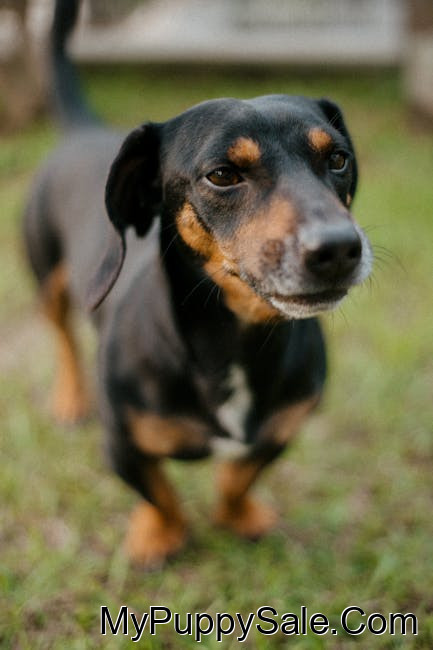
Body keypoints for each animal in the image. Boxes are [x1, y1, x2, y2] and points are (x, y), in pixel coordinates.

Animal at [23, 0, 372, 569]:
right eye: (223, 175)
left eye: (337, 159)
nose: (340, 248)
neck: (236, 343)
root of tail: (82, 130)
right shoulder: (122, 445)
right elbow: (158, 492)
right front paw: (158, 534)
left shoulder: (281, 430)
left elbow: (238, 476)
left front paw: (239, 516)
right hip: (46, 276)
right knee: (61, 334)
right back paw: (70, 397)